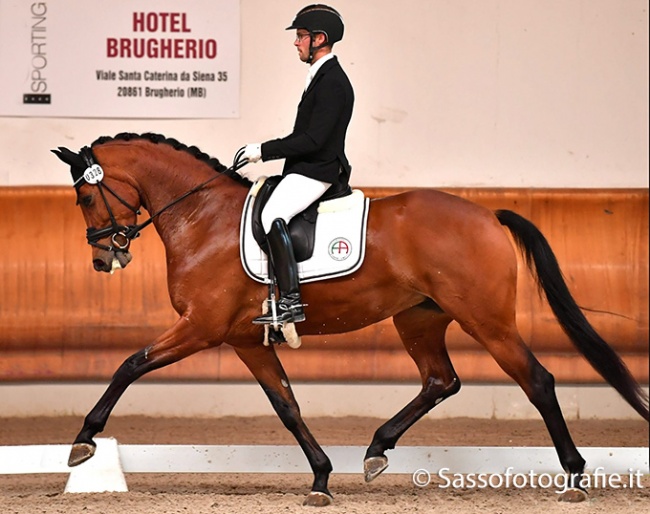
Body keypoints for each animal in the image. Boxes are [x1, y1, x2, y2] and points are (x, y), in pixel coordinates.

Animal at [53, 131, 644, 504]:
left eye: (85, 196)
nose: (103, 259)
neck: (203, 217)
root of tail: (487, 214)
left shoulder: (201, 328)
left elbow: (130, 365)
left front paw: (84, 441)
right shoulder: (243, 340)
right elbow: (287, 406)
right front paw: (320, 478)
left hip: (487, 321)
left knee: (537, 380)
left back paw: (574, 477)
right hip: (419, 320)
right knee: (440, 380)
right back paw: (376, 450)